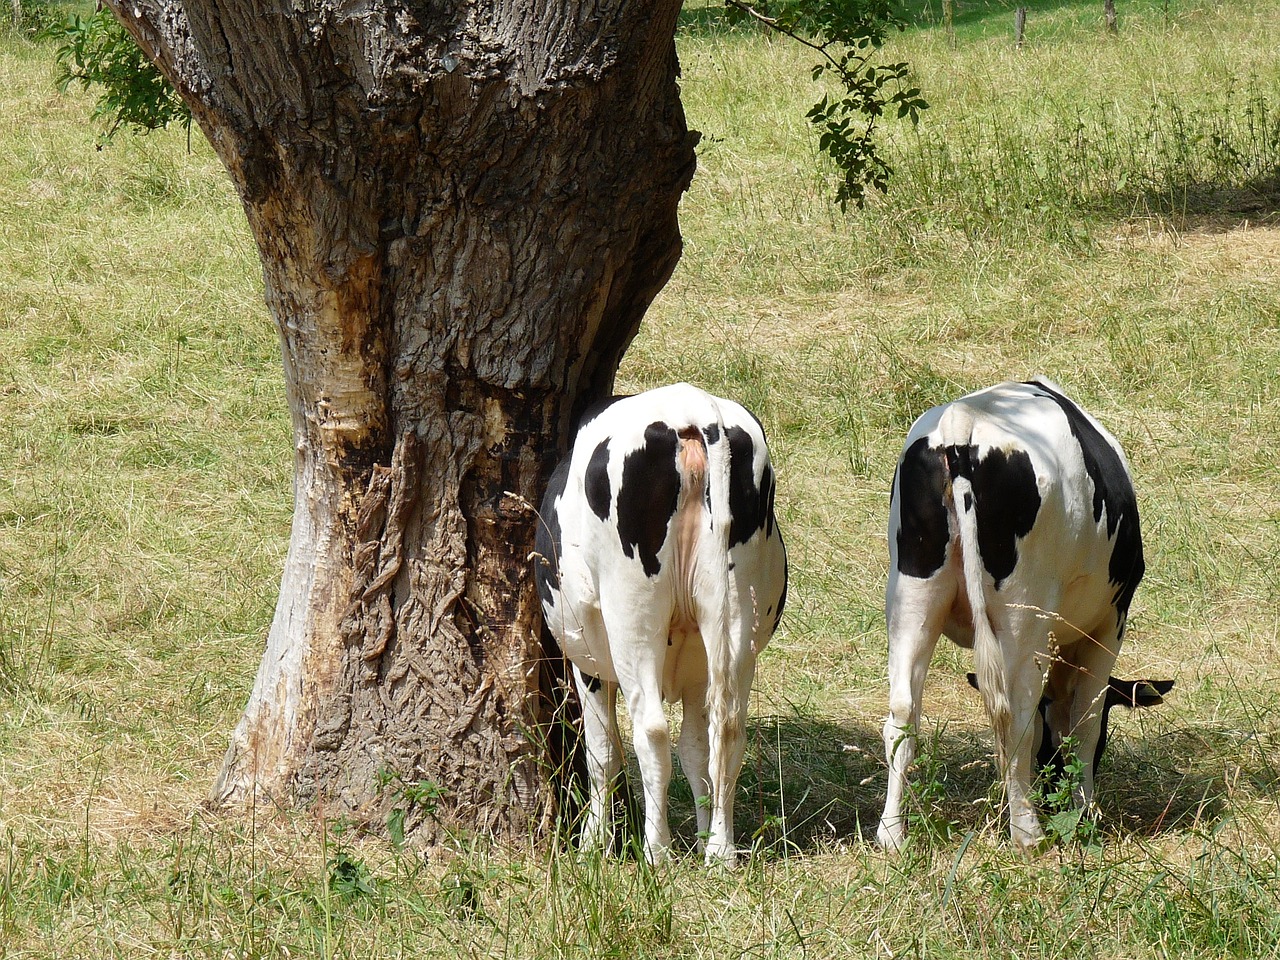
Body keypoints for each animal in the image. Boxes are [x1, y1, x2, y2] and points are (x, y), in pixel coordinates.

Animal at [532, 384, 788, 865]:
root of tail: (692, 412)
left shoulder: (589, 663)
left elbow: (603, 753)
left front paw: (592, 846)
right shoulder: (697, 671)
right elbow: (696, 751)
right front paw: (705, 834)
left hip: (632, 619)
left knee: (650, 729)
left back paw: (657, 851)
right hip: (736, 618)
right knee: (729, 728)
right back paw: (721, 851)